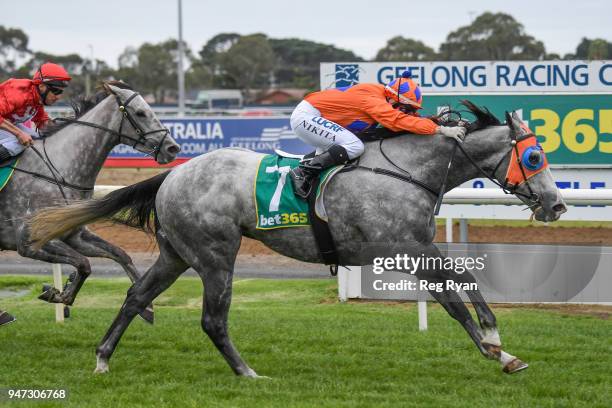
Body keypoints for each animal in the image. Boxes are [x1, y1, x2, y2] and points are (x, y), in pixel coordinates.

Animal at [1, 80, 179, 322]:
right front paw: (60, 295)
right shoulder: (29, 243)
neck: (58, 169)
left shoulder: (75, 235)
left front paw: (147, 307)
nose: (173, 148)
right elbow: (84, 264)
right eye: (141, 112)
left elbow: (120, 254)